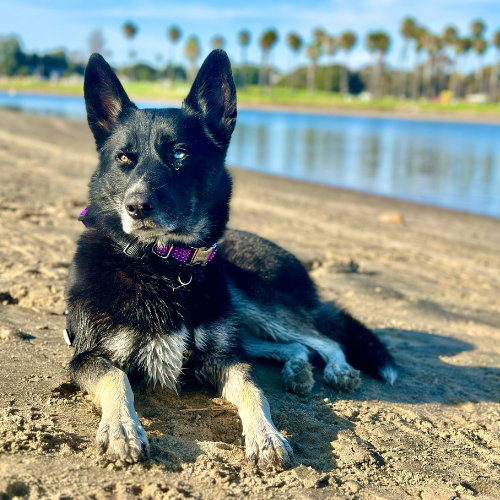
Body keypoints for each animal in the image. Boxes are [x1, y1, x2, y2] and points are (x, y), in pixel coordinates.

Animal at [65, 49, 394, 468]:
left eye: (179, 153)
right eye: (124, 158)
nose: (136, 207)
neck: (164, 265)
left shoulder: (223, 357)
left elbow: (252, 387)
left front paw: (266, 436)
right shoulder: (85, 357)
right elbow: (115, 377)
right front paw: (122, 428)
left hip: (253, 303)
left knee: (322, 339)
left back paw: (336, 369)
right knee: (295, 345)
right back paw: (298, 370)